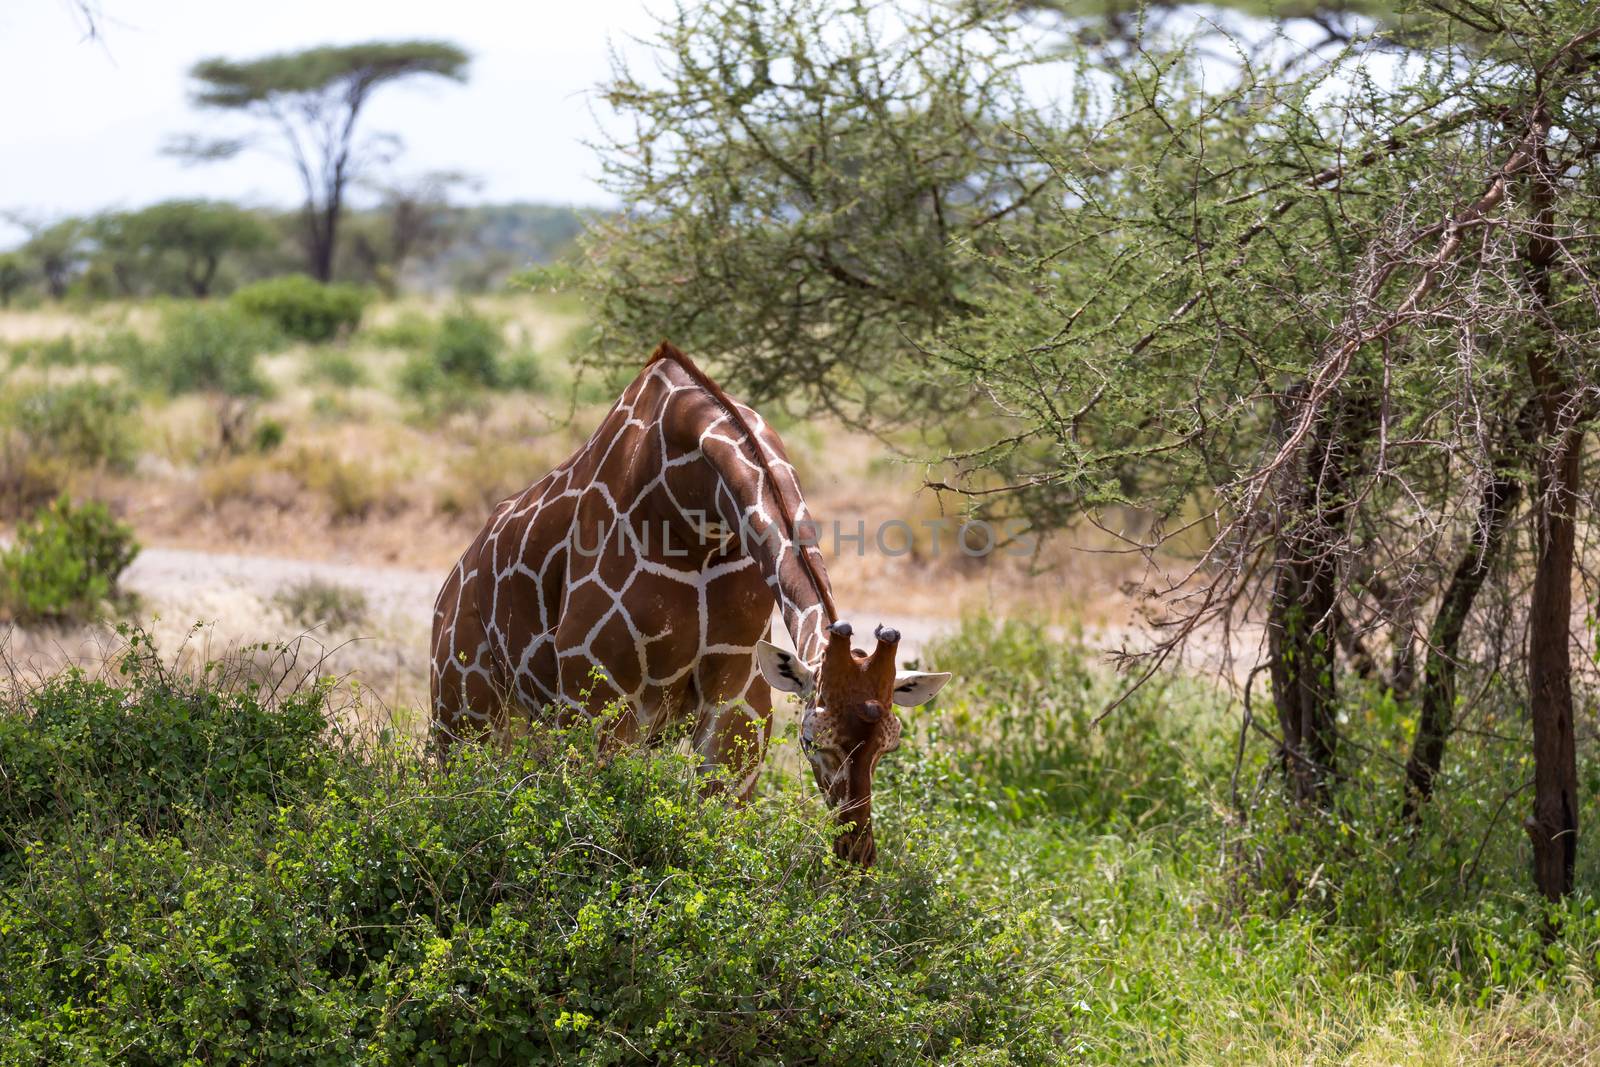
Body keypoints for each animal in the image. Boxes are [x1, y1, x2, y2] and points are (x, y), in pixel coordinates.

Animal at [432, 342, 947, 870]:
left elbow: (715, 825)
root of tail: (450, 587)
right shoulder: (598, 691)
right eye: (810, 741)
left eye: (890, 745)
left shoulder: (738, 694)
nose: (856, 852)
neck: (695, 511)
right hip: (464, 714)